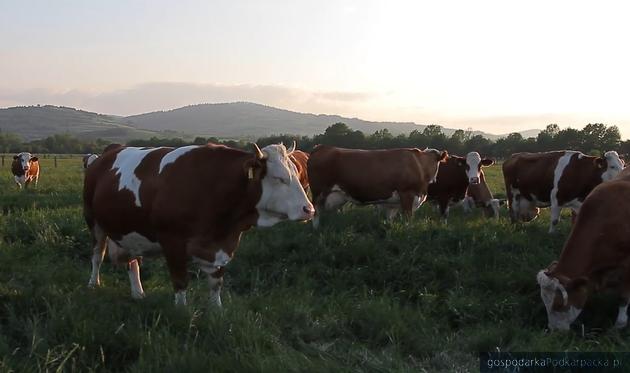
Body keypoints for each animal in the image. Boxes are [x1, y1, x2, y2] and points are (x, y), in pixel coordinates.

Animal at [82, 142, 314, 306]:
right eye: (279, 178)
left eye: (297, 173)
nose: (309, 210)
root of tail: (105, 154)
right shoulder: (172, 242)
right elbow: (180, 281)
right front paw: (181, 312)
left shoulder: (219, 245)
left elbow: (216, 284)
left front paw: (217, 312)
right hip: (93, 221)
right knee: (97, 254)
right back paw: (93, 283)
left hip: (130, 229)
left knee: (132, 261)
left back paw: (138, 292)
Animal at [308, 145, 450, 227]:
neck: (420, 165)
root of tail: (322, 147)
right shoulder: (407, 194)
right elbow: (408, 219)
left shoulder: (393, 203)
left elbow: (390, 219)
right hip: (318, 192)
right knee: (316, 213)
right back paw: (316, 229)